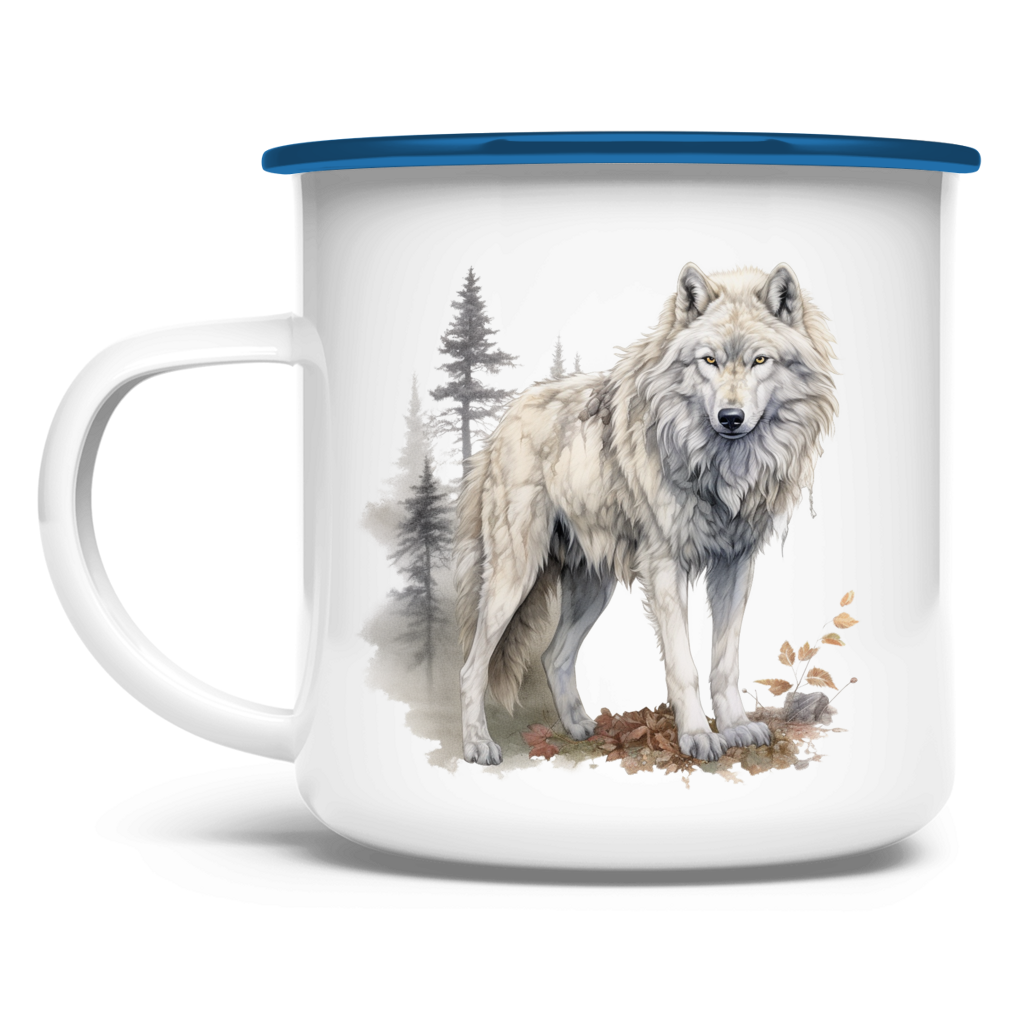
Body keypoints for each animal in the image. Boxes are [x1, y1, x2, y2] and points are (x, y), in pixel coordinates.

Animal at [455, 261, 841, 765]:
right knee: (471, 666)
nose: (730, 417)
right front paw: (698, 736)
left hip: (593, 588)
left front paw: (737, 728)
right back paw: (478, 744)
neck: (720, 469)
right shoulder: (665, 569)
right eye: (709, 360)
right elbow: (684, 666)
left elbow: (723, 663)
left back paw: (579, 728)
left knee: (554, 655)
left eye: (760, 360)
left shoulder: (736, 567)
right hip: (514, 577)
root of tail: (506, 419)